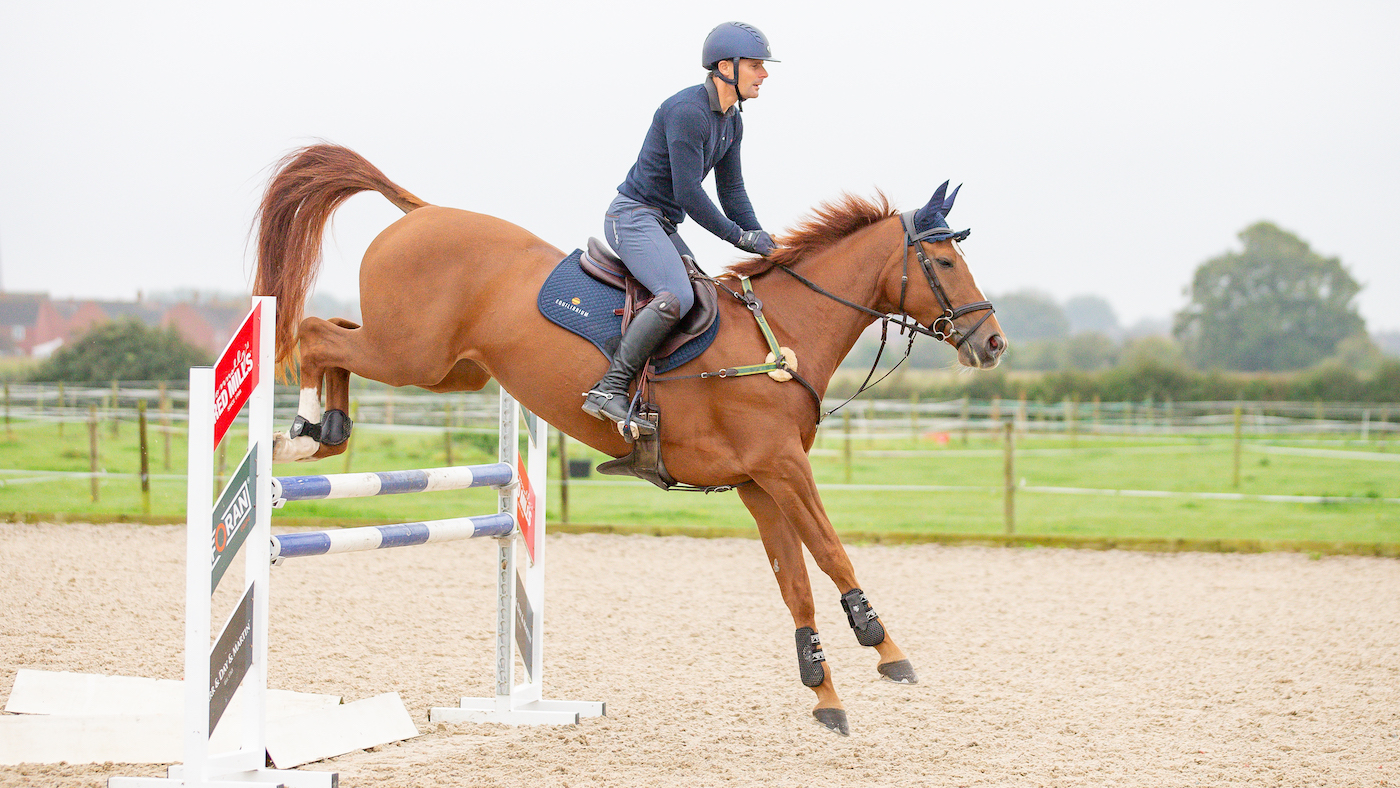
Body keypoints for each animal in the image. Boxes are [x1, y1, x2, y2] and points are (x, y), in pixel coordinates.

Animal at [252, 144, 1006, 735]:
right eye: (943, 261)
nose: (992, 342)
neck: (781, 337)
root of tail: (422, 211)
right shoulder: (784, 467)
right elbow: (831, 553)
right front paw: (887, 650)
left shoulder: (760, 482)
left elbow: (794, 580)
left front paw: (823, 692)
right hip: (411, 354)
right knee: (314, 333)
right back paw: (301, 435)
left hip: (449, 370)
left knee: (334, 335)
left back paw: (324, 432)